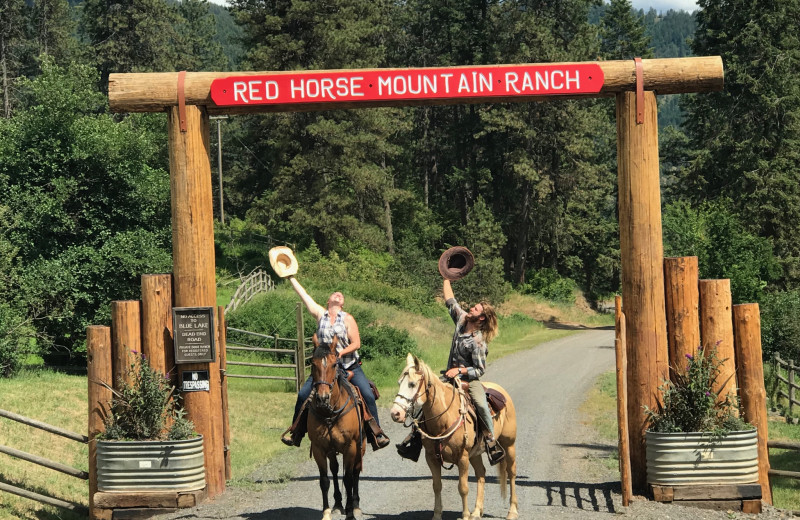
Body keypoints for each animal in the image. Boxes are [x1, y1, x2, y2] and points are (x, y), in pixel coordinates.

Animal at [308, 336, 368, 516]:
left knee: (355, 471)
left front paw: (350, 510)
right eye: (312, 363)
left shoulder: (351, 447)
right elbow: (324, 480)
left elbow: (348, 478)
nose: (322, 398)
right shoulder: (319, 448)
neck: (330, 413)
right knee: (335, 470)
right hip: (331, 450)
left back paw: (355, 504)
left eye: (335, 364)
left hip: (360, 447)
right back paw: (338, 504)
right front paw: (326, 510)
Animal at [390, 354, 520, 520]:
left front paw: (465, 515)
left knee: (511, 473)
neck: (444, 418)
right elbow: (437, 486)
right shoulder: (431, 458)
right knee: (481, 474)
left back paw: (512, 511)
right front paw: (437, 515)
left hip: (509, 444)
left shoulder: (462, 458)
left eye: (412, 384)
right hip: (475, 453)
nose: (395, 413)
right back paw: (476, 511)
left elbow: (463, 487)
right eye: (399, 383)